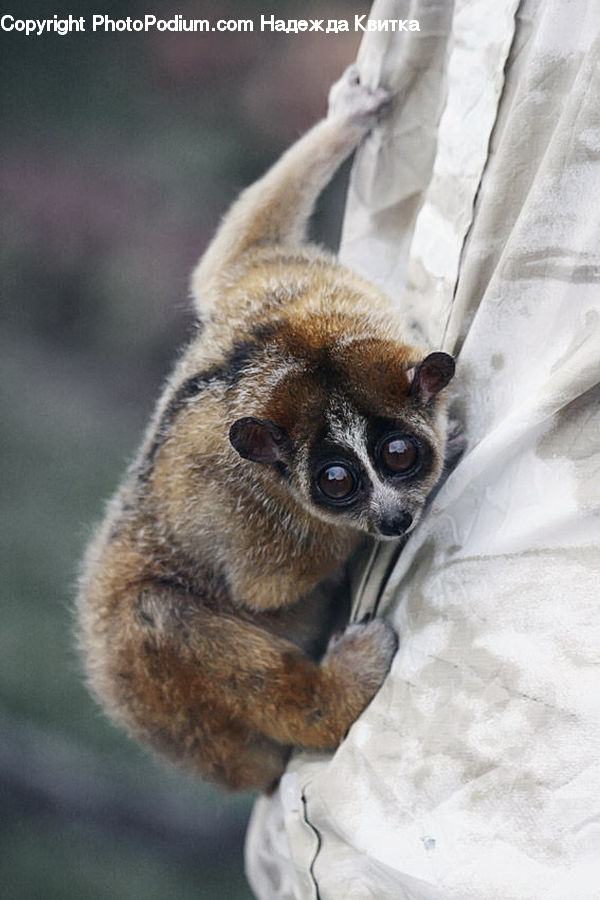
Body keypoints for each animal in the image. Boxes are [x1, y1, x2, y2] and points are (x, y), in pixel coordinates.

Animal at [77, 66, 457, 793]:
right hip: (159, 688)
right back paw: (336, 695)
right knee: (164, 619)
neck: (305, 344)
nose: (393, 519)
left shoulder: (288, 282)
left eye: (399, 453)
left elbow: (231, 256)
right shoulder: (249, 514)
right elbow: (265, 585)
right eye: (336, 482)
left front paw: (348, 117)